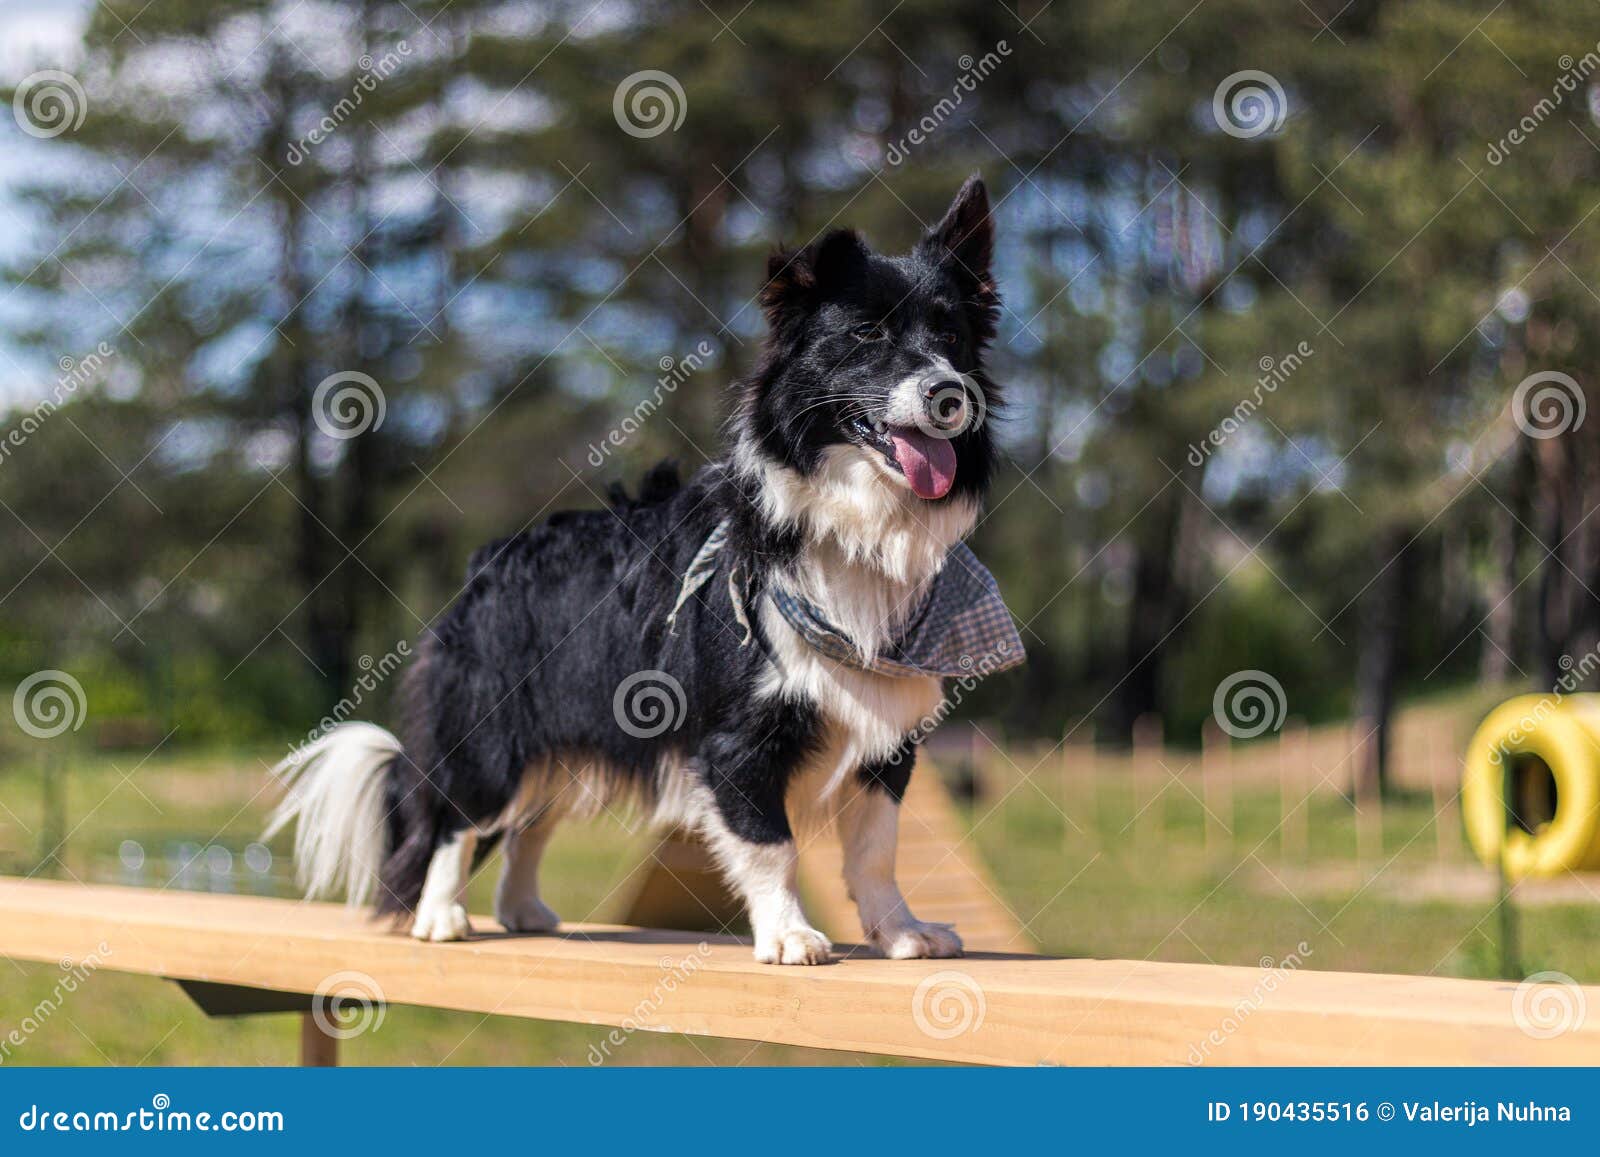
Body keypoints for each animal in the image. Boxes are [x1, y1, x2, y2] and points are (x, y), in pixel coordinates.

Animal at [267, 176, 1017, 966]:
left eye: (952, 337)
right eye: (868, 336)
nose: (950, 393)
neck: (854, 525)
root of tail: (490, 558)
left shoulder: (888, 736)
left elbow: (876, 850)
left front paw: (901, 933)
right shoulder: (737, 740)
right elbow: (771, 843)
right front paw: (789, 935)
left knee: (530, 823)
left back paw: (524, 912)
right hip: (494, 729)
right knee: (457, 817)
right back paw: (442, 916)